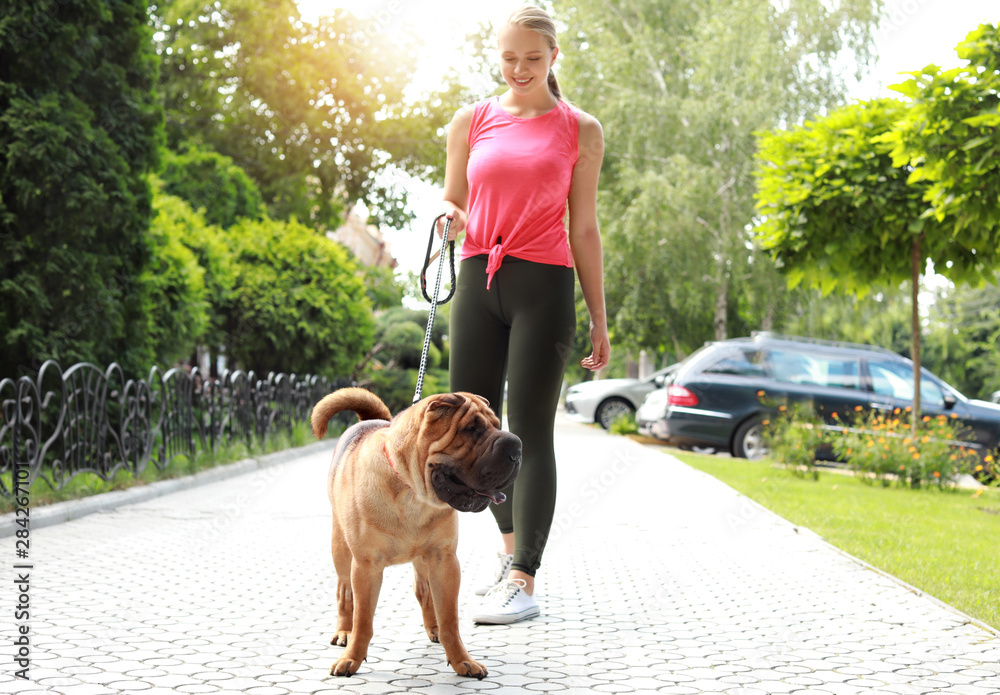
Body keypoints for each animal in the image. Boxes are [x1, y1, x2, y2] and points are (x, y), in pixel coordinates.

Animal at [308, 392, 520, 680]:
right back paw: (344, 632)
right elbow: (363, 619)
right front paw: (351, 658)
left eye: (497, 424)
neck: (412, 493)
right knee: (344, 593)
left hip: (423, 559)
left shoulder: (444, 561)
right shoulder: (365, 566)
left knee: (423, 591)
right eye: (470, 429)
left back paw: (434, 629)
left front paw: (462, 660)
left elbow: (450, 619)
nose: (517, 447)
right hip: (341, 550)